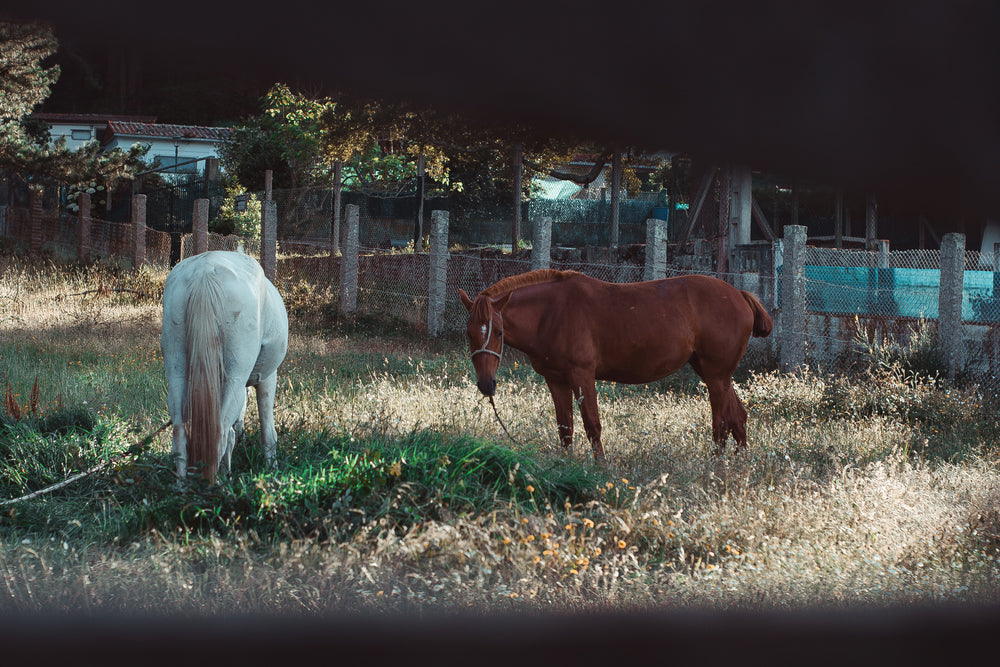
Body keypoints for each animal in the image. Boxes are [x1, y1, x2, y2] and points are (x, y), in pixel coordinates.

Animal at [159, 253, 286, 482]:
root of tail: (205, 269)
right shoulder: (267, 377)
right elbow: (267, 431)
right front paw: (272, 469)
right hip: (235, 377)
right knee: (220, 431)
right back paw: (216, 484)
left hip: (176, 372)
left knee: (180, 430)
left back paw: (182, 485)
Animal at [458, 268, 772, 462]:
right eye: (469, 333)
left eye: (498, 333)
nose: (486, 384)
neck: (551, 313)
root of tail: (740, 294)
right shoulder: (556, 380)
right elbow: (565, 428)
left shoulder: (582, 376)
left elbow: (592, 425)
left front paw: (600, 467)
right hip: (715, 374)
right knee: (737, 418)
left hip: (716, 377)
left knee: (721, 424)